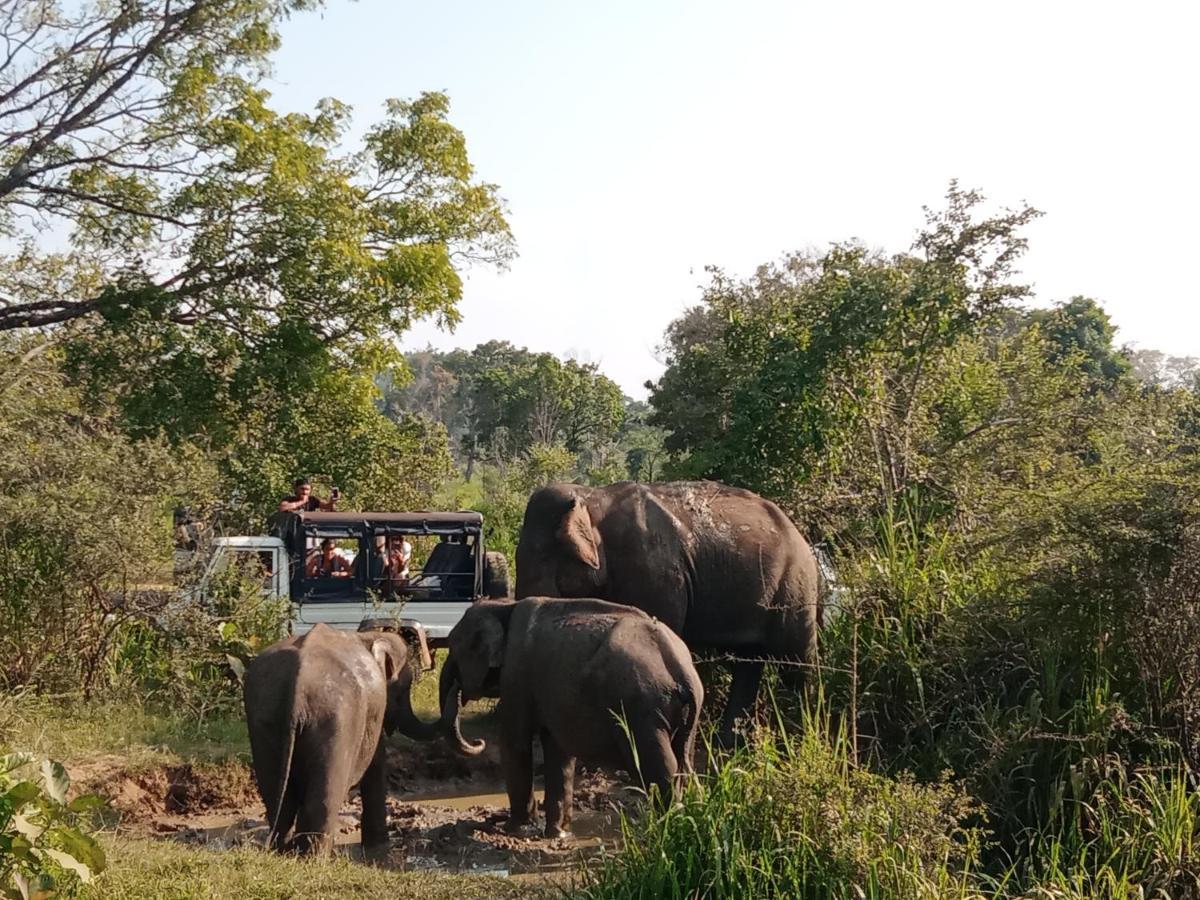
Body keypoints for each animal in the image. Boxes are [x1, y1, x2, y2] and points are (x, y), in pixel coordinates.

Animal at [241, 624, 439, 854]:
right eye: (406, 687)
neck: (367, 636)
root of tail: (297, 683)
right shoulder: (372, 715)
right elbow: (375, 764)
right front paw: (379, 848)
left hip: (265, 715)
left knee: (277, 796)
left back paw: (285, 852)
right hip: (336, 719)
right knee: (324, 798)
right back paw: (314, 857)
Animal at [434, 600, 700, 840]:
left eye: (453, 649)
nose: (479, 741)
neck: (503, 606)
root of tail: (681, 671)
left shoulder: (516, 675)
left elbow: (515, 742)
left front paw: (515, 829)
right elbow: (558, 751)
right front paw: (558, 834)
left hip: (642, 710)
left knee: (661, 768)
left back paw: (666, 830)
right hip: (684, 716)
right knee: (684, 763)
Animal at [516, 482, 825, 744]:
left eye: (540, 557)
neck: (592, 496)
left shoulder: (654, 573)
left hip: (794, 586)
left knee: (795, 661)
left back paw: (801, 737)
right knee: (748, 662)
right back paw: (728, 747)